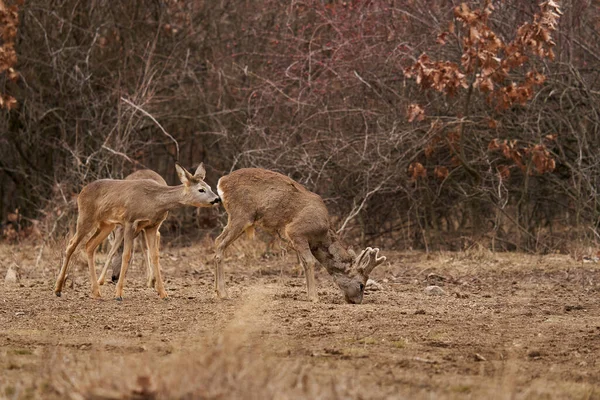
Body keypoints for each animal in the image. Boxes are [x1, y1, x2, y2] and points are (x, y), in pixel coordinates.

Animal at [54, 163, 220, 300]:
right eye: (201, 189)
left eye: (210, 187)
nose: (217, 199)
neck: (153, 201)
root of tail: (82, 192)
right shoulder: (129, 222)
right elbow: (127, 255)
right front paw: (118, 294)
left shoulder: (152, 226)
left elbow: (155, 256)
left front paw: (163, 293)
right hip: (85, 218)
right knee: (71, 245)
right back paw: (58, 289)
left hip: (106, 225)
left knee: (89, 246)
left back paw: (96, 292)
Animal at [213, 168, 386, 304]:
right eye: (361, 285)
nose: (357, 301)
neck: (321, 234)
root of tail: (222, 182)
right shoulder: (296, 231)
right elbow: (309, 261)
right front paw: (314, 297)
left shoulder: (296, 240)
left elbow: (303, 263)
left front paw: (309, 294)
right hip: (241, 214)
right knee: (220, 243)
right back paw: (223, 293)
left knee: (217, 241)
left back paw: (217, 292)